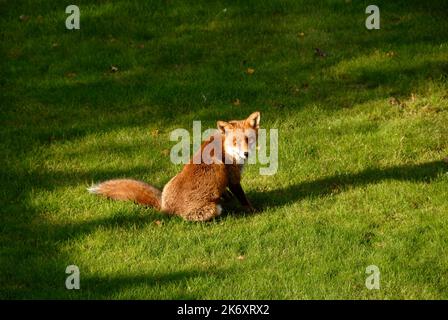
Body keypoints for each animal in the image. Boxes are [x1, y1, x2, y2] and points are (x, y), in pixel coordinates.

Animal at [88, 111, 260, 221]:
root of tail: (165, 207)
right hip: (211, 210)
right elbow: (243, 198)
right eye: (235, 142)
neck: (225, 147)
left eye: (249, 139)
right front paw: (253, 211)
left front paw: (228, 197)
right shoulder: (233, 178)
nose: (246, 154)